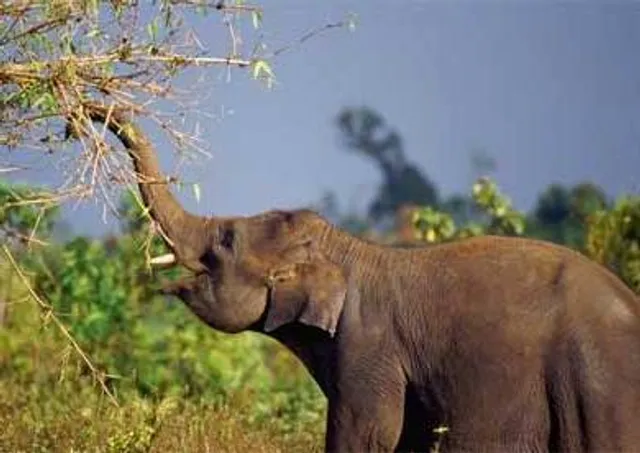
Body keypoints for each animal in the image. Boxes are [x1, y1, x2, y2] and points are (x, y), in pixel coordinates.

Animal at [82, 104, 640, 453]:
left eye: (225, 242)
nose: (90, 112)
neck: (344, 248)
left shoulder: (370, 350)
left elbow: (367, 437)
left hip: (597, 389)